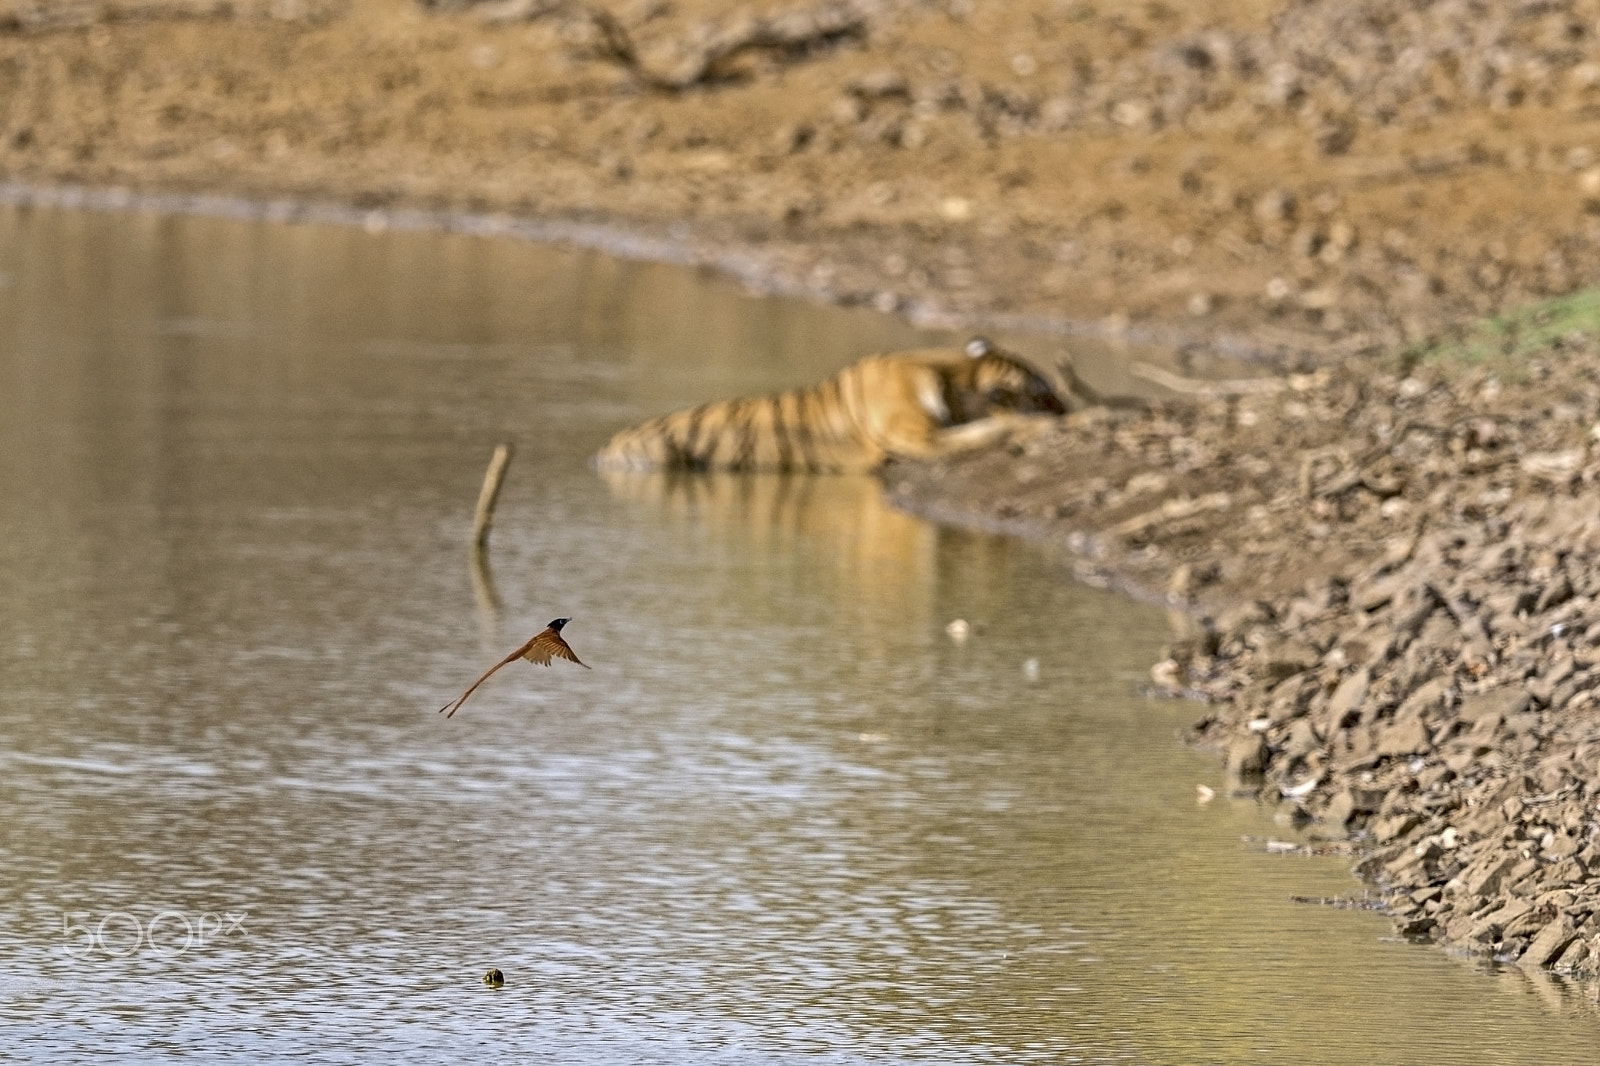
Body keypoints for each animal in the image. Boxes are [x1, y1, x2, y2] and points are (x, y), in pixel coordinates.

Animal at [595, 337, 1068, 470]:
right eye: (1046, 396)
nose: (1065, 408)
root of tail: (605, 449)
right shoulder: (913, 434)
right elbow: (983, 430)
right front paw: (1042, 429)